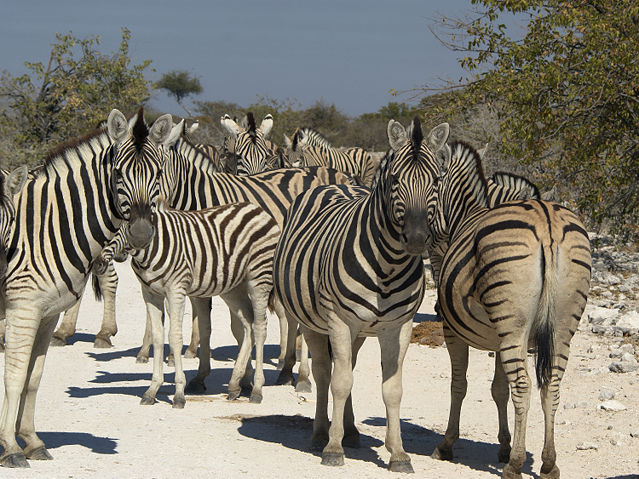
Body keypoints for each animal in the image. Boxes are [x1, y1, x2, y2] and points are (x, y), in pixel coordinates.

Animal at [0, 108, 172, 468]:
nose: (140, 233)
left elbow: (33, 377)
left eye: (158, 173)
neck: (48, 227)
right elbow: (14, 376)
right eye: (118, 173)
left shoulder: (47, 314)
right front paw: (10, 447)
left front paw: (31, 441)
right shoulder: (22, 309)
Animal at [99, 201, 278, 406]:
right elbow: (158, 337)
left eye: (122, 227)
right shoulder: (150, 294)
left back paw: (256, 389)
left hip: (259, 278)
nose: (98, 263)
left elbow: (175, 337)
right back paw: (234, 384)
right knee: (248, 324)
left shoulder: (176, 290)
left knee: (260, 327)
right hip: (233, 287)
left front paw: (179, 394)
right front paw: (152, 390)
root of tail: (257, 208)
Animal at [274, 117, 450, 472]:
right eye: (395, 179)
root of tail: (338, 183)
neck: (389, 265)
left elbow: (392, 388)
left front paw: (398, 454)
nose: (416, 239)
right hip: (316, 322)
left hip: (358, 331)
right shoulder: (340, 321)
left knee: (349, 366)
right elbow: (339, 382)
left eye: (437, 180)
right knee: (325, 372)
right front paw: (333, 448)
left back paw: (351, 431)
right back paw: (320, 434)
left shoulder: (399, 326)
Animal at [422, 141, 592, 478]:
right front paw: (504, 445)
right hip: (562, 325)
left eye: (434, 183)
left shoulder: (453, 331)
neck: (468, 214)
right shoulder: (499, 338)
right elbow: (498, 388)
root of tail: (547, 222)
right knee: (551, 385)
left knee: (524, 386)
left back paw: (515, 465)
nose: (426, 239)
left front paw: (447, 444)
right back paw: (548, 462)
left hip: (513, 324)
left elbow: (459, 385)